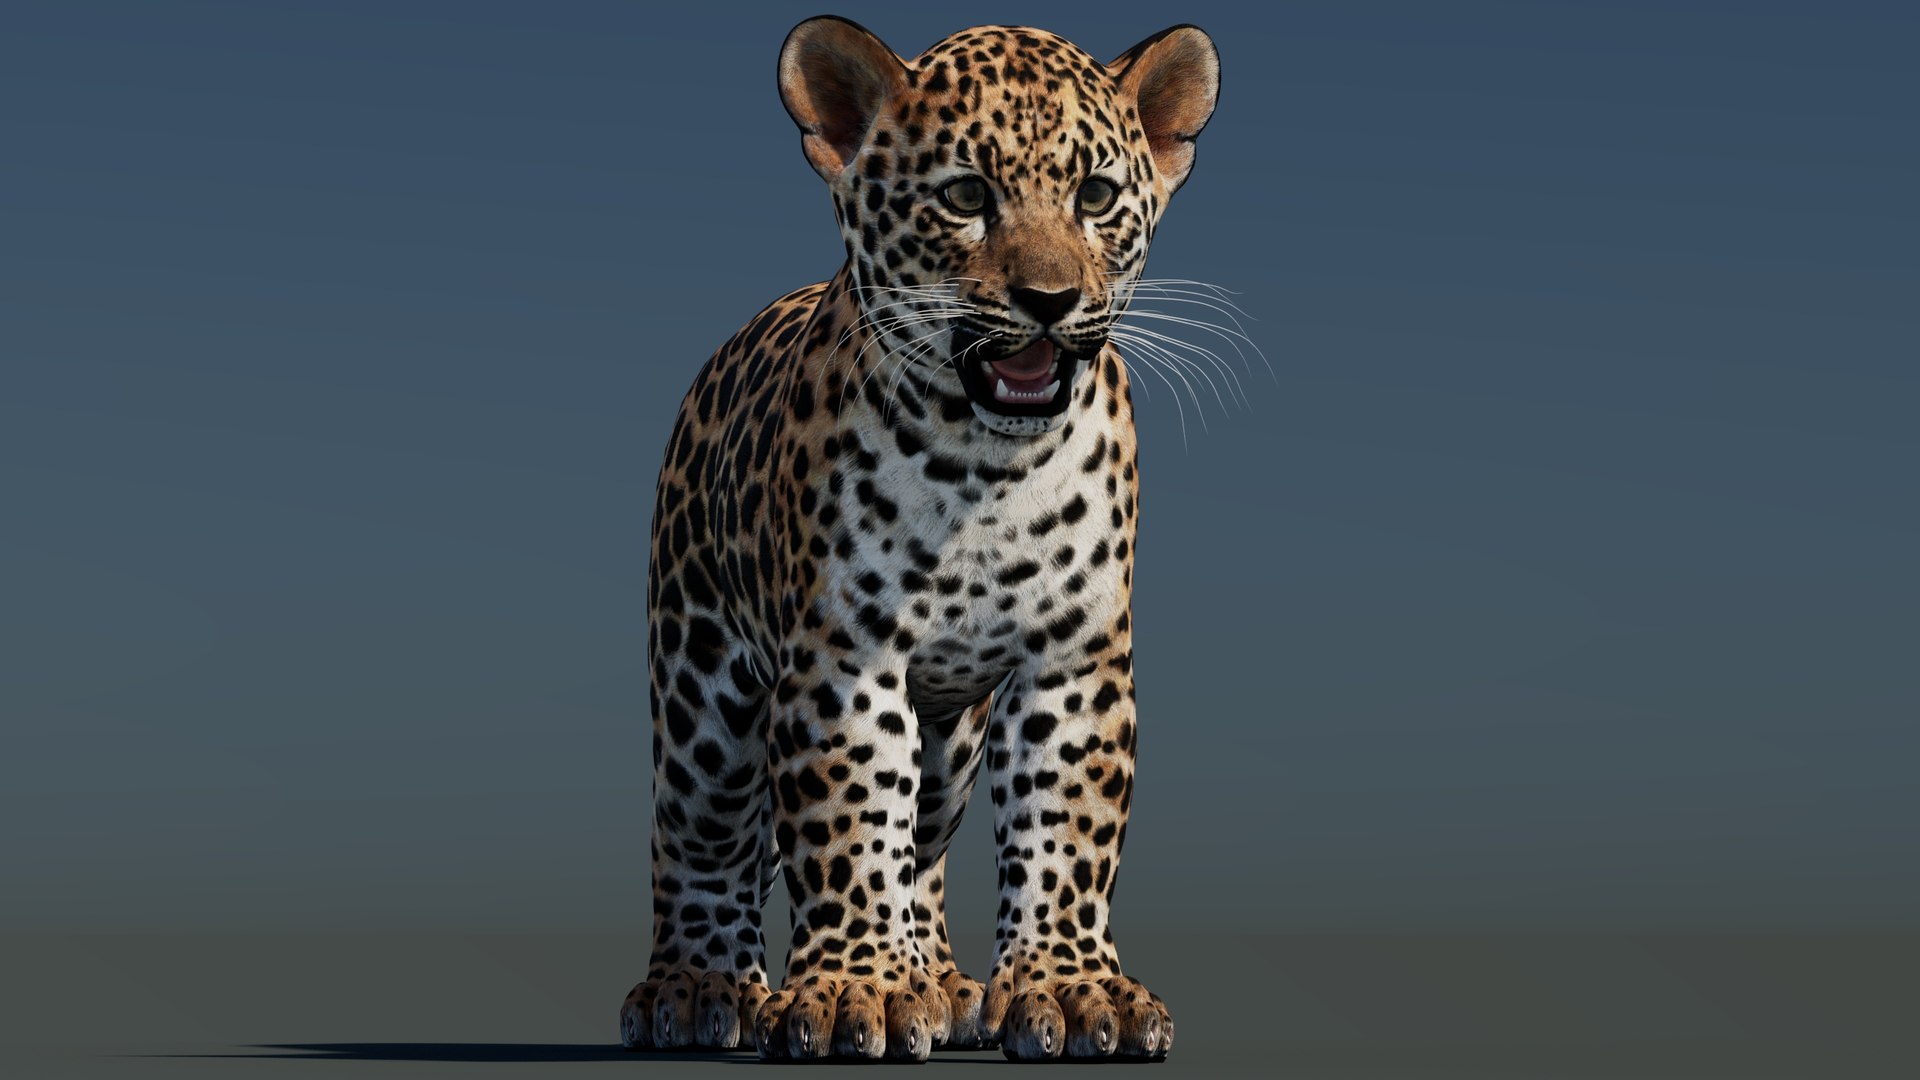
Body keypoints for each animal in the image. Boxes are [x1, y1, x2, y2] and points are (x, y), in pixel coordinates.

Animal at [618, 16, 1221, 1062]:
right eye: (966, 196)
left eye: (1096, 196)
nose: (1049, 299)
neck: (986, 471)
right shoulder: (845, 660)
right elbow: (850, 818)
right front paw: (849, 990)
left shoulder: (1072, 662)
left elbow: (1063, 826)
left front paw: (1065, 989)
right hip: (699, 687)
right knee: (704, 838)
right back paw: (700, 990)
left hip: (949, 736)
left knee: (923, 849)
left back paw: (937, 979)